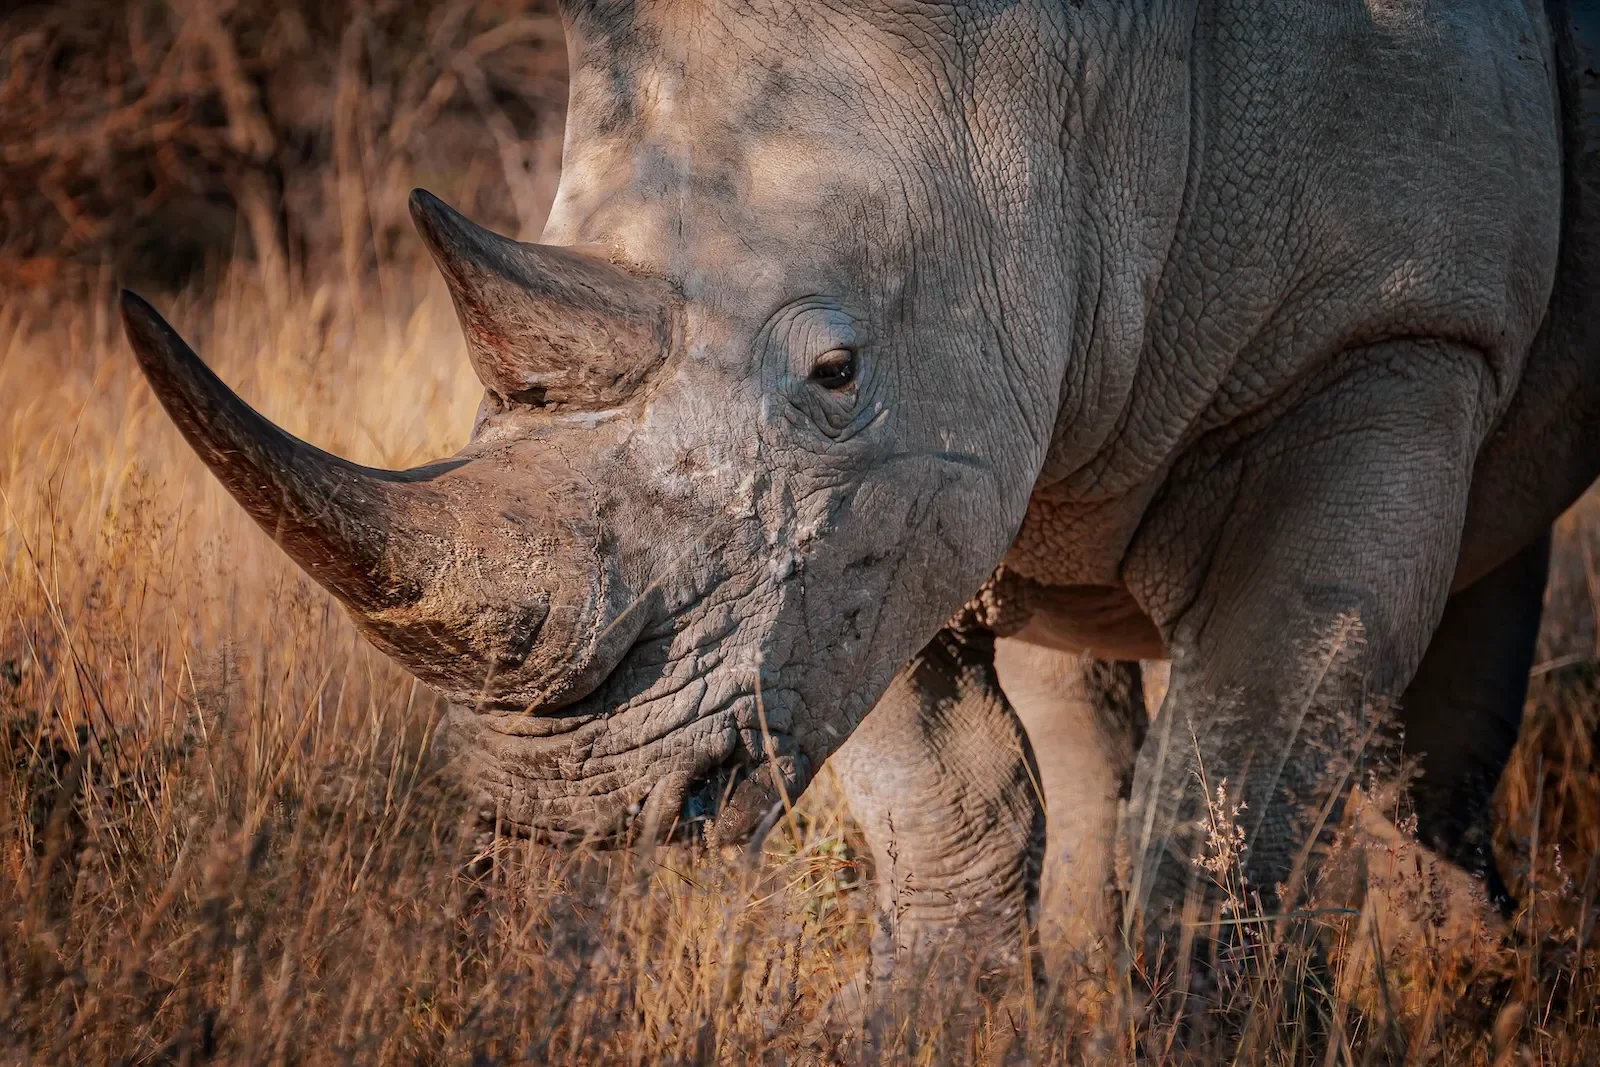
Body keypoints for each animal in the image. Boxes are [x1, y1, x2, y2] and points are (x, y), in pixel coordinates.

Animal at [121, 0, 1600, 983]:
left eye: (835, 370)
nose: (550, 799)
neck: (1084, 80)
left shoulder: (1390, 331)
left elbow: (1224, 817)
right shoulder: (862, 529)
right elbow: (944, 806)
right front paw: (939, 1016)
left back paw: (1453, 984)